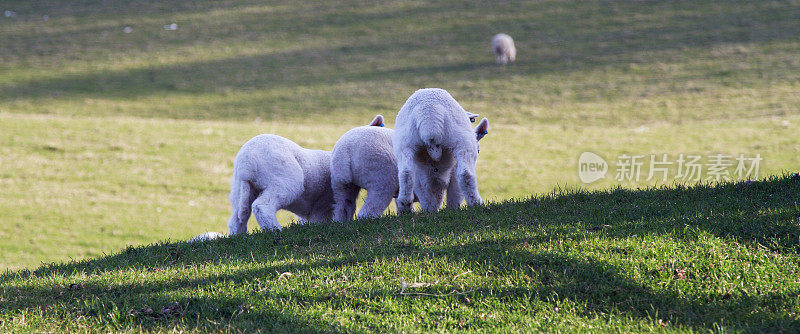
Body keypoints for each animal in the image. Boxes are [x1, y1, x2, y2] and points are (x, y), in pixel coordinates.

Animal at [225, 116, 382, 234]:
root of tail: (247, 162)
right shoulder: (322, 208)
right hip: (284, 180)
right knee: (262, 206)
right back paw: (276, 230)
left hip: (239, 188)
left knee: (237, 218)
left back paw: (239, 235)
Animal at [330, 113, 488, 220]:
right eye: (478, 150)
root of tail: (346, 151)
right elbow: (451, 197)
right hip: (381, 178)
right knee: (368, 210)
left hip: (341, 184)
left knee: (342, 207)